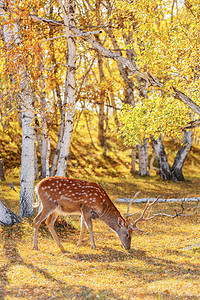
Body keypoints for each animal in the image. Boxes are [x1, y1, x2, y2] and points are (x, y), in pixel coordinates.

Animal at [32, 177, 162, 252]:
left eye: (132, 234)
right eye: (127, 234)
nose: (128, 247)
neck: (102, 207)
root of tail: (37, 186)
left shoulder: (82, 211)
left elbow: (83, 227)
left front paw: (79, 244)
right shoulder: (86, 208)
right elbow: (89, 227)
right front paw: (94, 246)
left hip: (56, 209)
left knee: (49, 222)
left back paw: (61, 246)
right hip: (48, 203)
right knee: (36, 220)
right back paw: (36, 246)